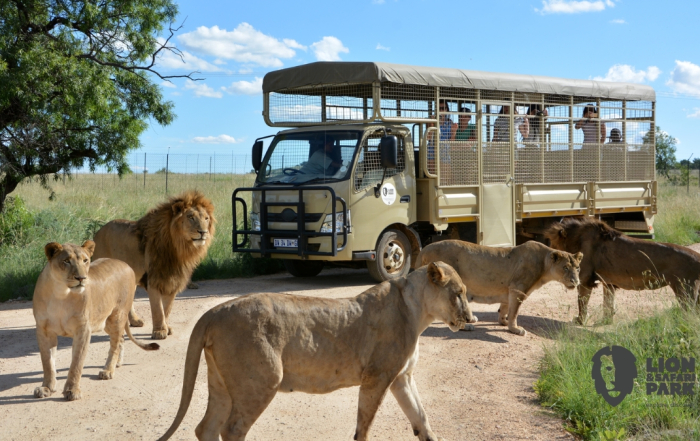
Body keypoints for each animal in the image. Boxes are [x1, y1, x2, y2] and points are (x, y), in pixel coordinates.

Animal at [33, 241, 159, 401]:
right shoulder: (44, 330)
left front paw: (72, 390)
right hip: (105, 322)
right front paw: (46, 388)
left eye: (85, 260)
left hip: (117, 316)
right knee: (120, 339)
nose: (81, 278)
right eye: (66, 261)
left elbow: (76, 363)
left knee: (115, 344)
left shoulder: (83, 330)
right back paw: (117, 363)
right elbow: (47, 362)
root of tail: (126, 264)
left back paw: (108, 370)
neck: (60, 293)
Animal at [92, 190, 215, 340]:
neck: (179, 249)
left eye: (206, 218)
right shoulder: (154, 280)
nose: (203, 232)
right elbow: (158, 309)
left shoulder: (173, 280)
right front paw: (159, 331)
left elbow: (167, 309)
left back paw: (135, 321)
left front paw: (167, 328)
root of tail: (97, 233)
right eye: (191, 217)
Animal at [157, 262, 474, 441]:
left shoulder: (401, 378)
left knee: (206, 429)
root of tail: (213, 312)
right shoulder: (377, 376)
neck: (418, 311)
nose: (471, 319)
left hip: (221, 383)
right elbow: (364, 426)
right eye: (458, 293)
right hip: (261, 381)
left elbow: (421, 418)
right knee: (232, 430)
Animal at [417, 240, 582, 336]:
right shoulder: (518, 289)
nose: (576, 282)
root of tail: (424, 249)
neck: (544, 264)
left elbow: (505, 308)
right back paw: (467, 326)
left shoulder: (509, 290)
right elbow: (514, 312)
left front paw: (503, 322)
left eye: (578, 268)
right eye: (565, 268)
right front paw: (515, 329)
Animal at [545, 217, 700, 324]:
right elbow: (608, 304)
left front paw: (580, 321)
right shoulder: (608, 283)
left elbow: (582, 303)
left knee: (691, 314)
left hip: (685, 291)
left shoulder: (584, 280)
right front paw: (605, 321)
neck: (575, 239)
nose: (548, 258)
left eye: (552, 244)